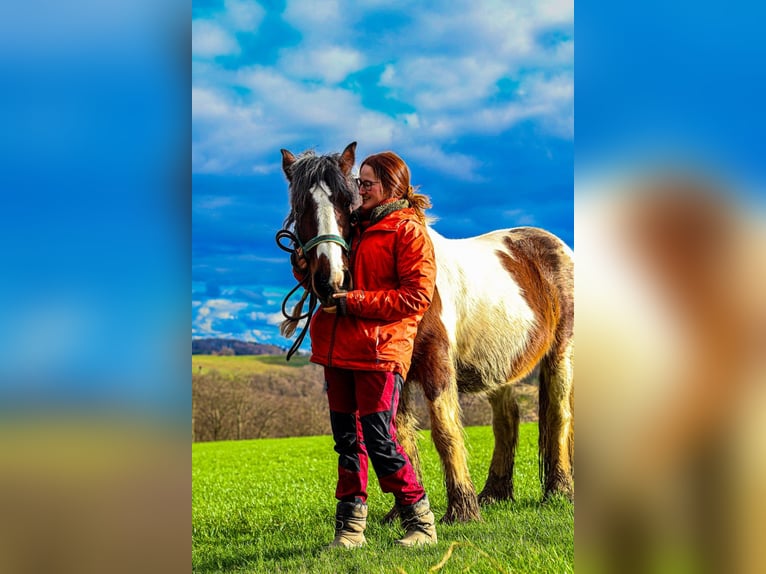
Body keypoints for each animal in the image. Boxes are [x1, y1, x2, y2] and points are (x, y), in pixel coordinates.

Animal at [280, 143, 572, 520]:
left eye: (346, 202)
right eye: (301, 206)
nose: (332, 280)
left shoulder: (437, 364)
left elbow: (445, 430)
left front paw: (462, 509)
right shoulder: (393, 374)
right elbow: (401, 434)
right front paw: (405, 511)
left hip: (561, 353)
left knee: (558, 413)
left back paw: (558, 490)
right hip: (499, 363)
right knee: (507, 419)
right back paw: (494, 494)